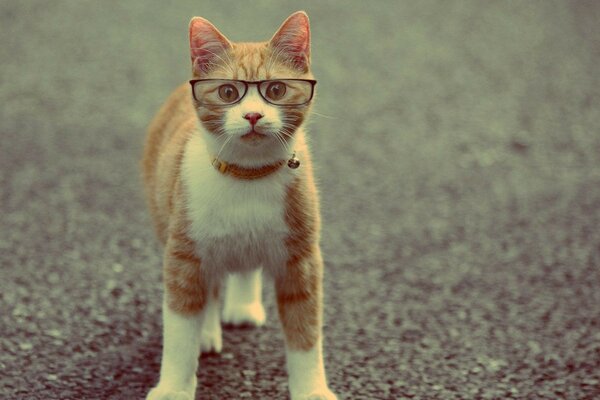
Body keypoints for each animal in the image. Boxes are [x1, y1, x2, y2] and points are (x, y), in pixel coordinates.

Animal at [141, 10, 338, 398]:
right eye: (228, 92)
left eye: (275, 89)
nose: (252, 116)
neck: (248, 176)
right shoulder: (183, 255)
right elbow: (180, 328)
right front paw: (173, 386)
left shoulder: (301, 260)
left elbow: (306, 334)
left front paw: (311, 390)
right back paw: (207, 330)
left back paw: (243, 304)